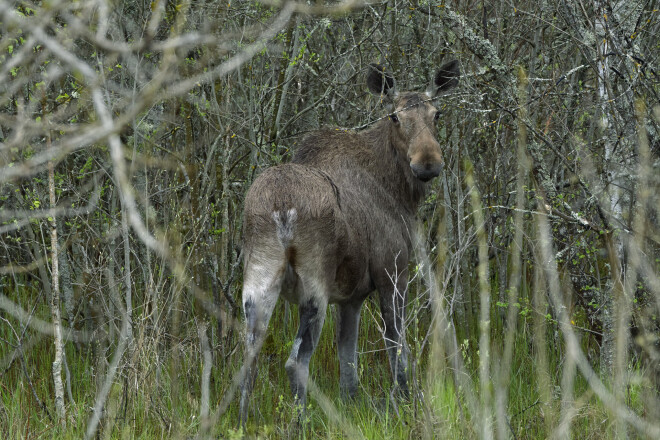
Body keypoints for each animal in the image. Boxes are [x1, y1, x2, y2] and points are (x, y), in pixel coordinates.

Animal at [237, 59, 458, 422]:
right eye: (394, 116)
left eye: (437, 114)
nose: (428, 163)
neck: (397, 190)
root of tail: (280, 208)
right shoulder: (392, 272)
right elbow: (397, 346)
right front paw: (405, 403)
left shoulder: (350, 297)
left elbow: (347, 362)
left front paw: (352, 406)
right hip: (314, 288)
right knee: (295, 362)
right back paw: (300, 423)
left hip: (258, 280)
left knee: (249, 358)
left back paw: (244, 421)